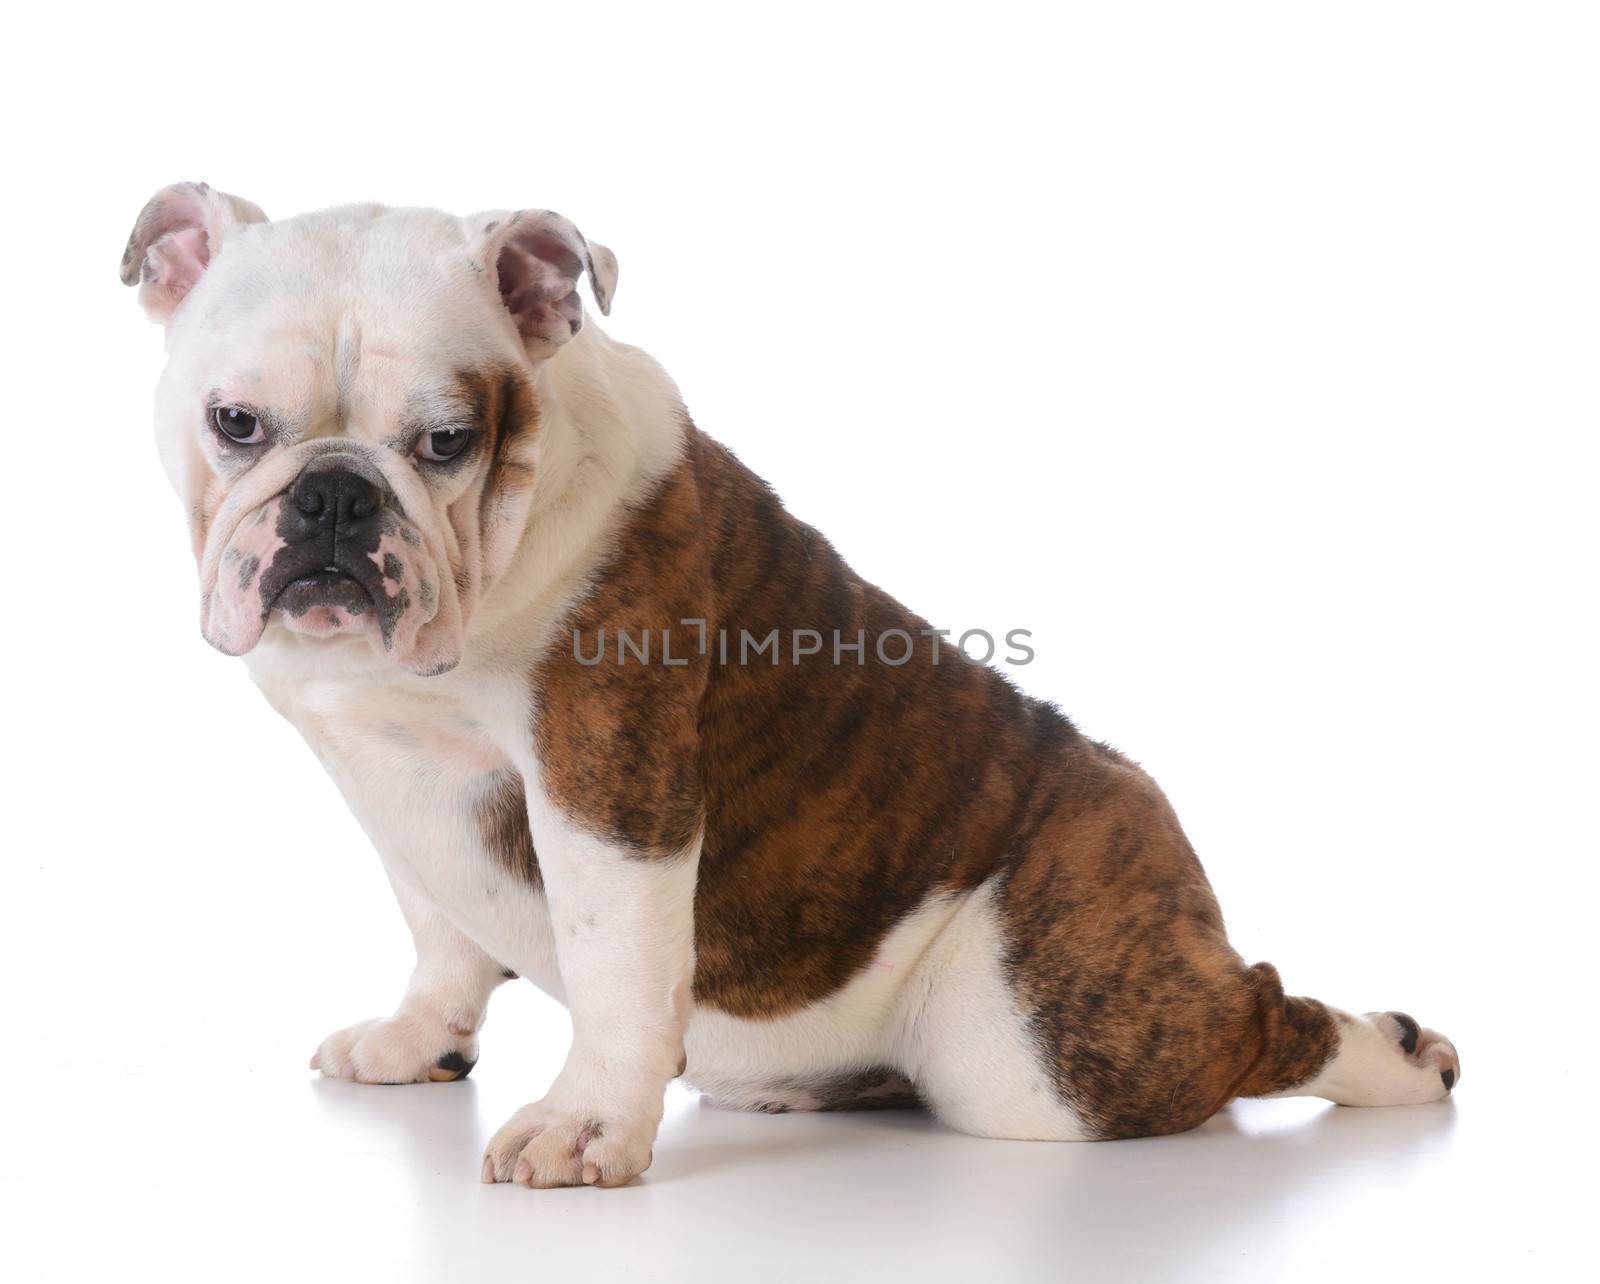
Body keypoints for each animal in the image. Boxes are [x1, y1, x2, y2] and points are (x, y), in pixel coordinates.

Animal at [121, 184, 1465, 1184]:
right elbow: (441, 930)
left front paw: (586, 1126)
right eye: (235, 422)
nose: (333, 498)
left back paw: (1399, 1059)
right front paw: (416, 1041)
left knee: (1254, 1022)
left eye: (449, 442)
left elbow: (613, 963)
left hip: (1040, 1040)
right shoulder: (399, 792)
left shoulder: (608, 786)